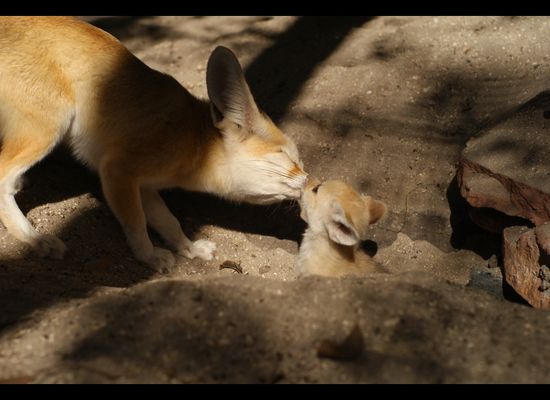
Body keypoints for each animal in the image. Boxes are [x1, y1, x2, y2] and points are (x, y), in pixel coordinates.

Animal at [0, 18, 308, 268]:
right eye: (287, 156)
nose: (310, 181)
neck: (195, 141)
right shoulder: (117, 171)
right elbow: (136, 223)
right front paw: (148, 257)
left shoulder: (144, 184)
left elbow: (168, 221)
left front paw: (189, 249)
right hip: (50, 128)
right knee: (3, 178)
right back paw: (34, 238)